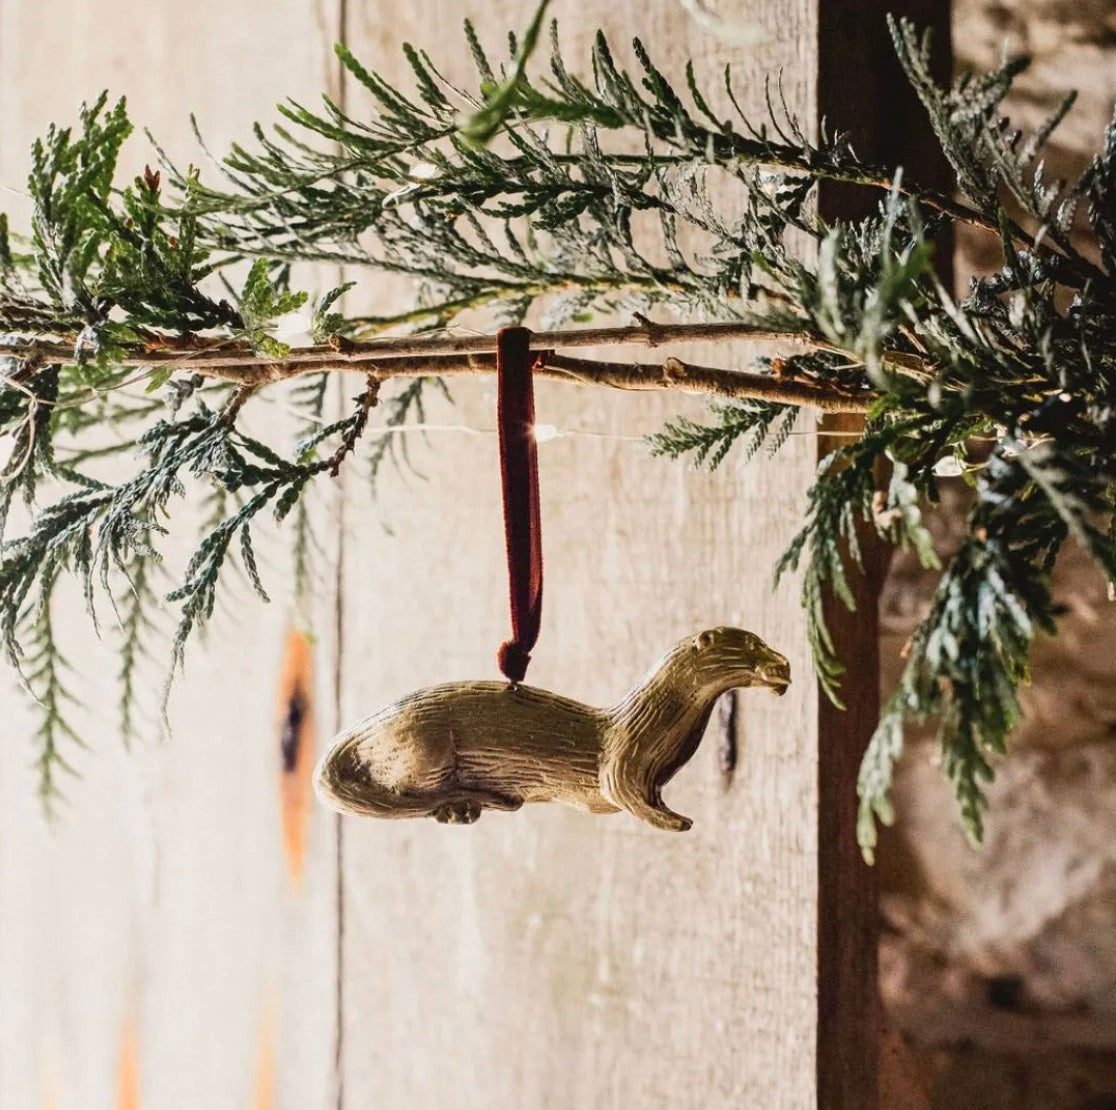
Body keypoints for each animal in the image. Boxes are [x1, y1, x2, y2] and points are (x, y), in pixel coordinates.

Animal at [313, 627, 790, 832]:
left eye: (766, 640)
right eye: (752, 644)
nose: (784, 664)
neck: (647, 728)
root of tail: (366, 728)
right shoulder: (622, 769)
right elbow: (631, 798)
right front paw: (676, 820)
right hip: (424, 746)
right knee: (399, 792)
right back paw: (460, 804)